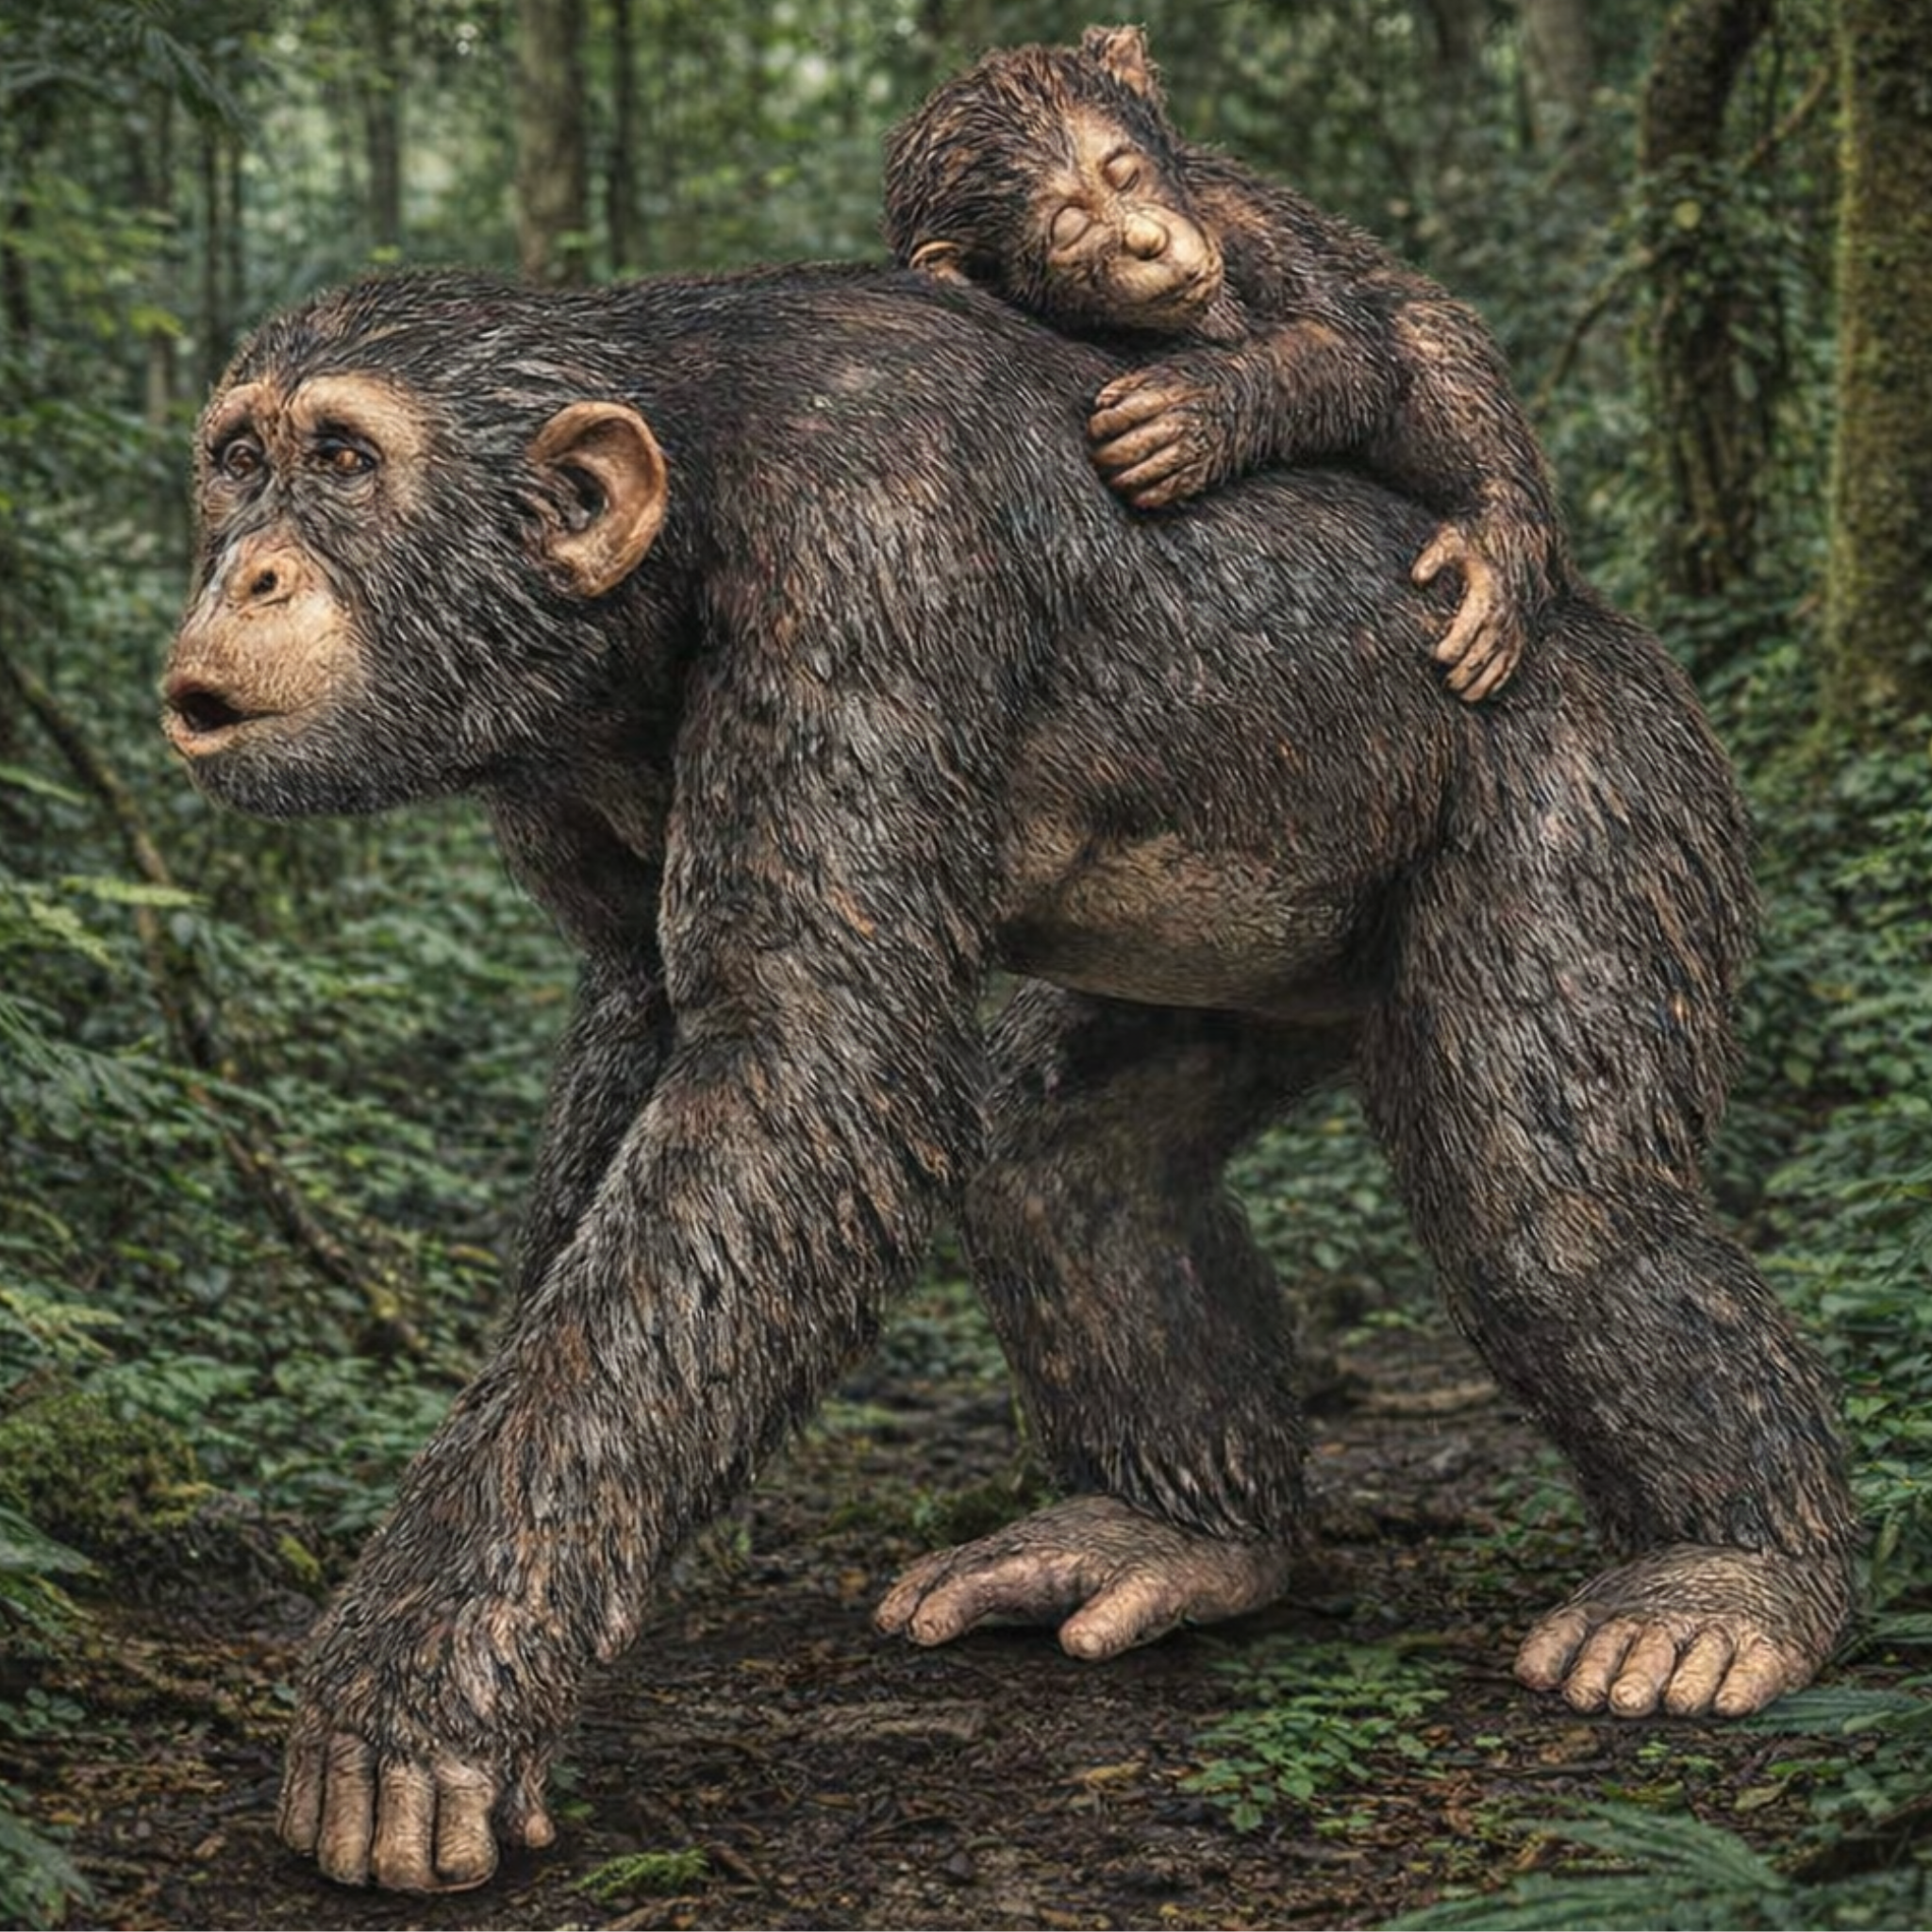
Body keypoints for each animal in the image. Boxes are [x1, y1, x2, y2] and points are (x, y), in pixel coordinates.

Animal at [161, 265, 1856, 1892]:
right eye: (238, 460)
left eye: (341, 459)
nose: (245, 571)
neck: (668, 531)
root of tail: (1613, 635)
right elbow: (645, 1044)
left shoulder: (868, 559)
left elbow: (804, 1068)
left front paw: (421, 1681)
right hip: (1268, 952)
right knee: (1062, 1159)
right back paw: (1167, 1534)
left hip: (1594, 781)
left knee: (1555, 1212)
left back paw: (1729, 1582)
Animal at [883, 25, 1568, 704]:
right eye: (1071, 231)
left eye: (1123, 174)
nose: (1147, 242)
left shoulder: (1236, 212)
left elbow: (1345, 345)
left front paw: (1190, 416)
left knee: (1424, 331)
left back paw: (1494, 540)